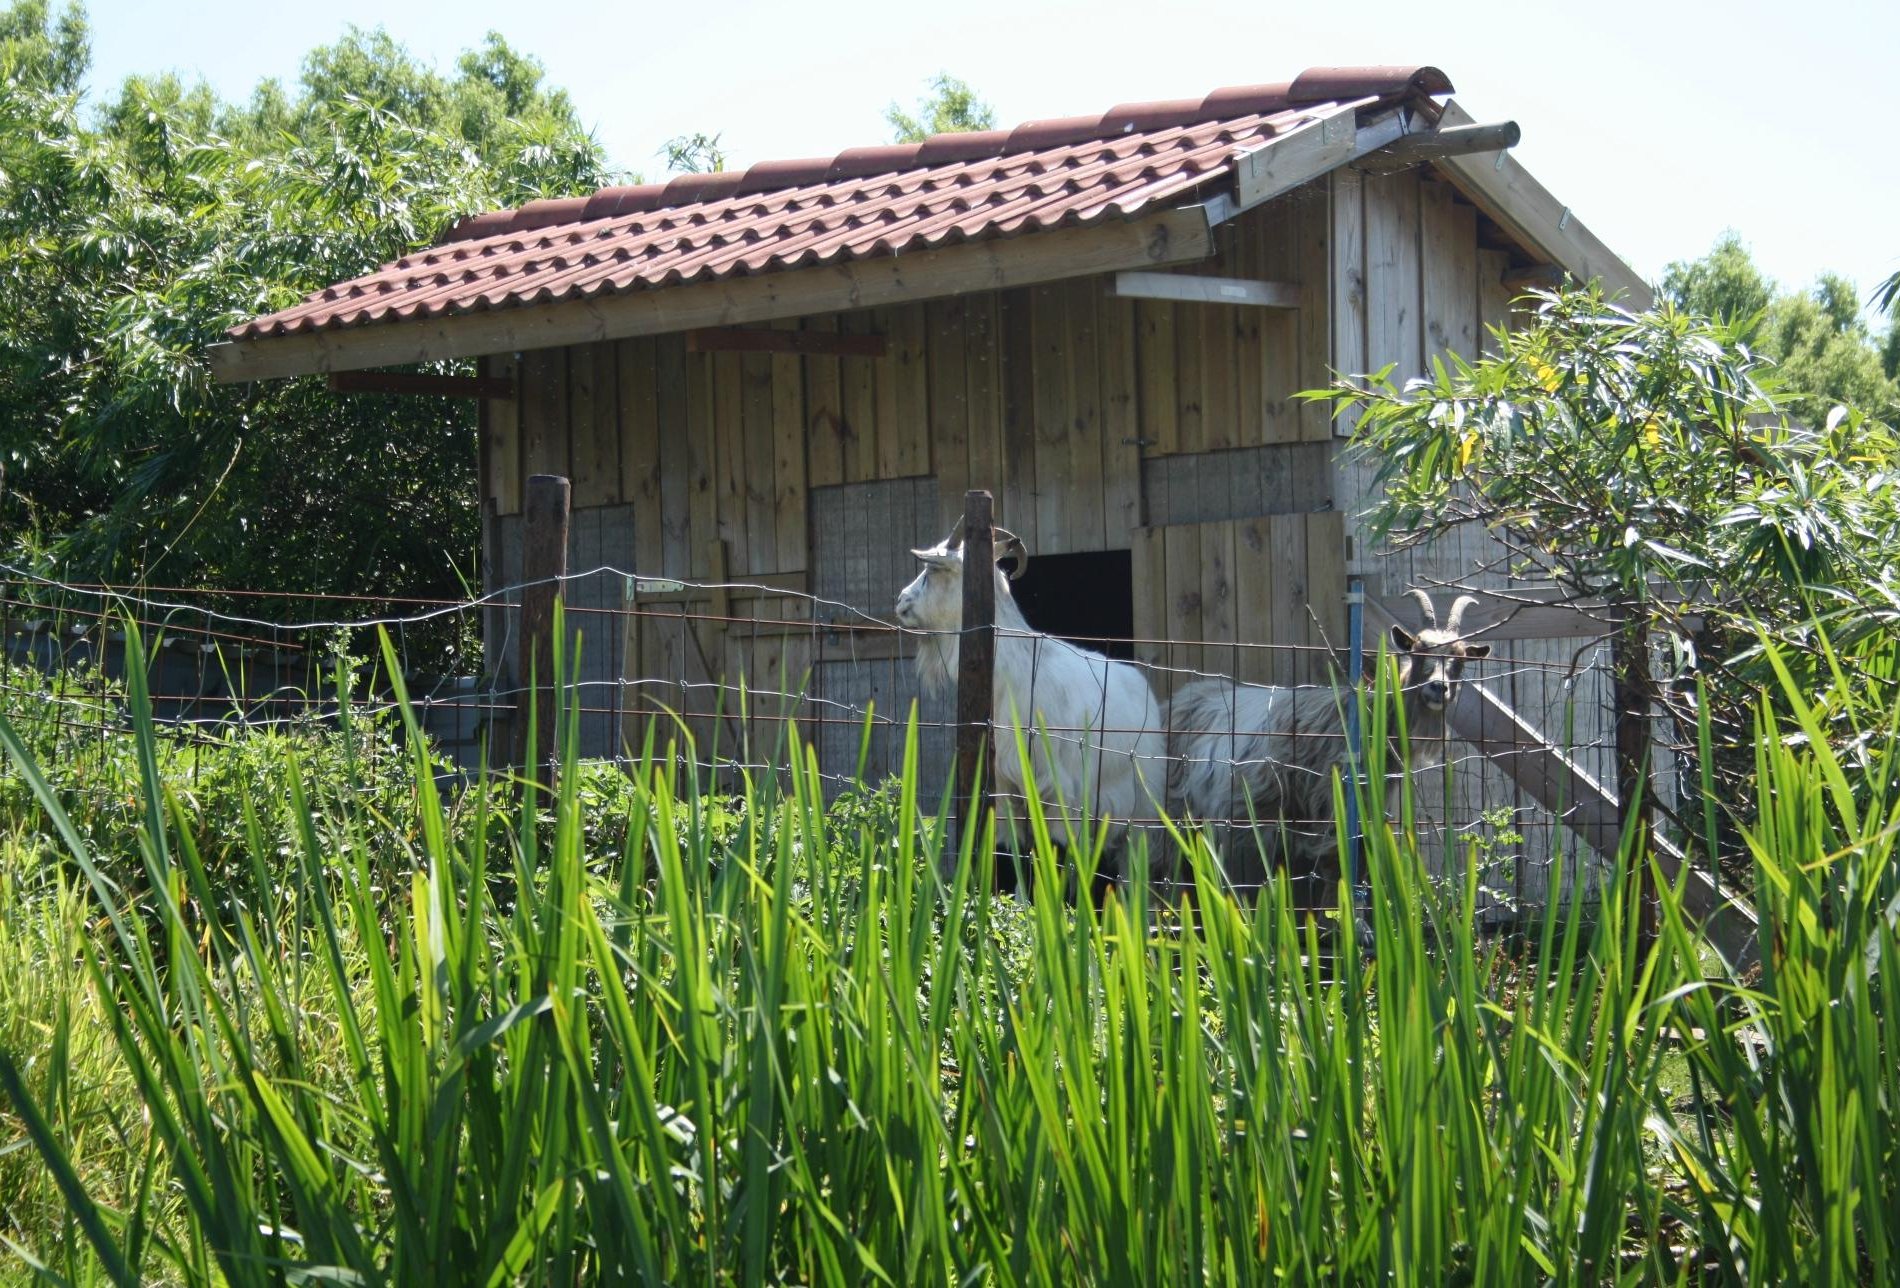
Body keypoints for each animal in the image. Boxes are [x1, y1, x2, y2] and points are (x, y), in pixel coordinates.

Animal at [893, 512, 1170, 858]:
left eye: (932, 569)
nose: (900, 601)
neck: (1019, 672)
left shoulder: (1060, 794)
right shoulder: (1006, 787)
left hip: (1140, 810)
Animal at [1162, 588, 1489, 904]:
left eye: (1460, 660)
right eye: (1418, 651)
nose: (1438, 687)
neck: (1369, 717)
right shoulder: (1332, 810)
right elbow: (1337, 871)